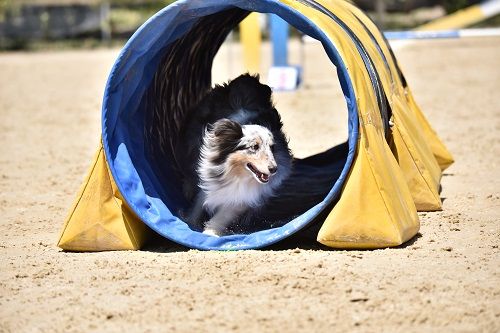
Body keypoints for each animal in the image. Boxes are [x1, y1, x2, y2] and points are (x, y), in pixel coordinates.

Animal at [176, 73, 292, 233]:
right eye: (254, 147)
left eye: (272, 147)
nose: (274, 169)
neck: (237, 173)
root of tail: (247, 78)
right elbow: (200, 202)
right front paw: (191, 222)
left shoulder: (245, 196)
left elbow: (224, 214)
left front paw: (211, 232)